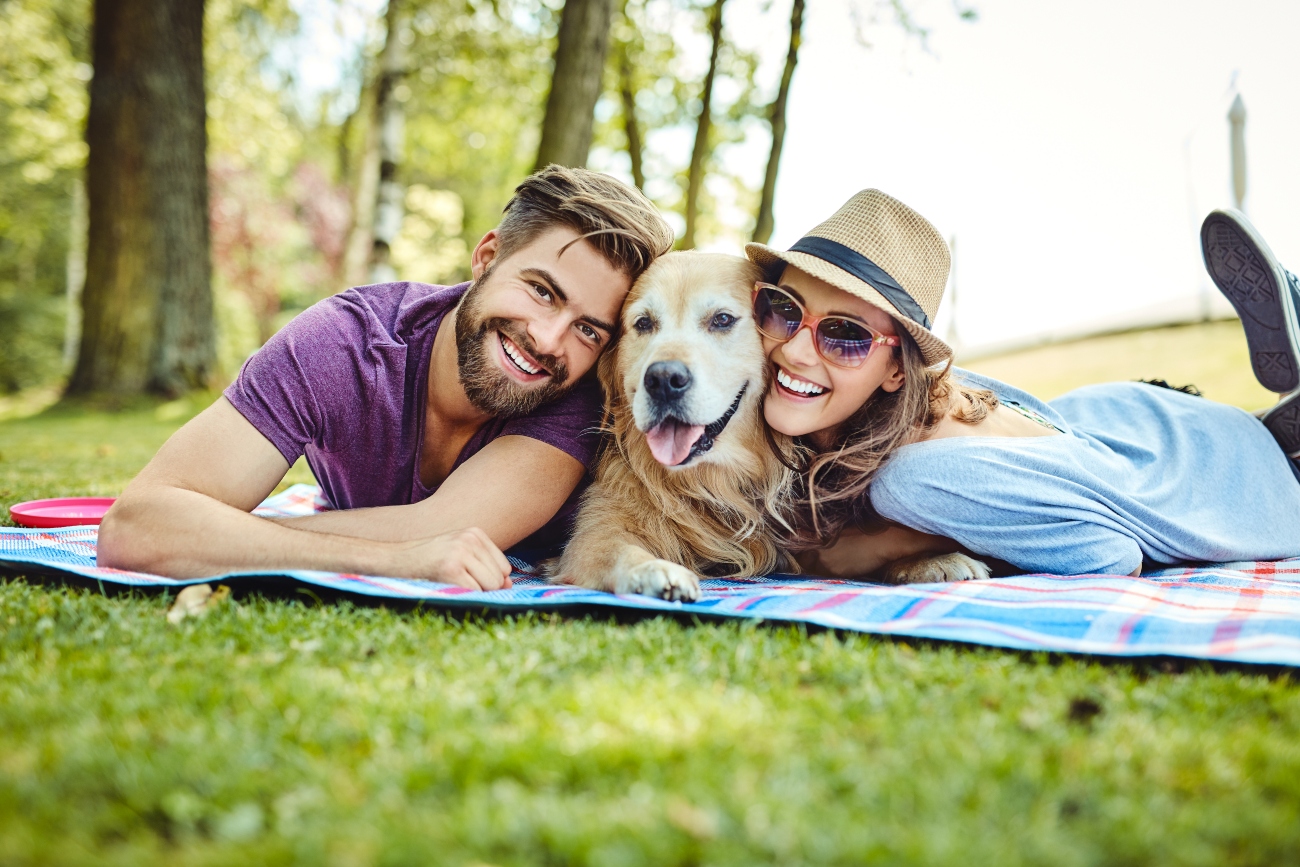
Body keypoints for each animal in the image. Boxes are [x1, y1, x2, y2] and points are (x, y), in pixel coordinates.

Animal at [553, 254, 987, 600]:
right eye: (643, 323)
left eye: (722, 319)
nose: (662, 379)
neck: (712, 481)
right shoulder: (595, 530)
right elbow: (616, 549)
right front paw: (653, 570)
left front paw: (929, 560)